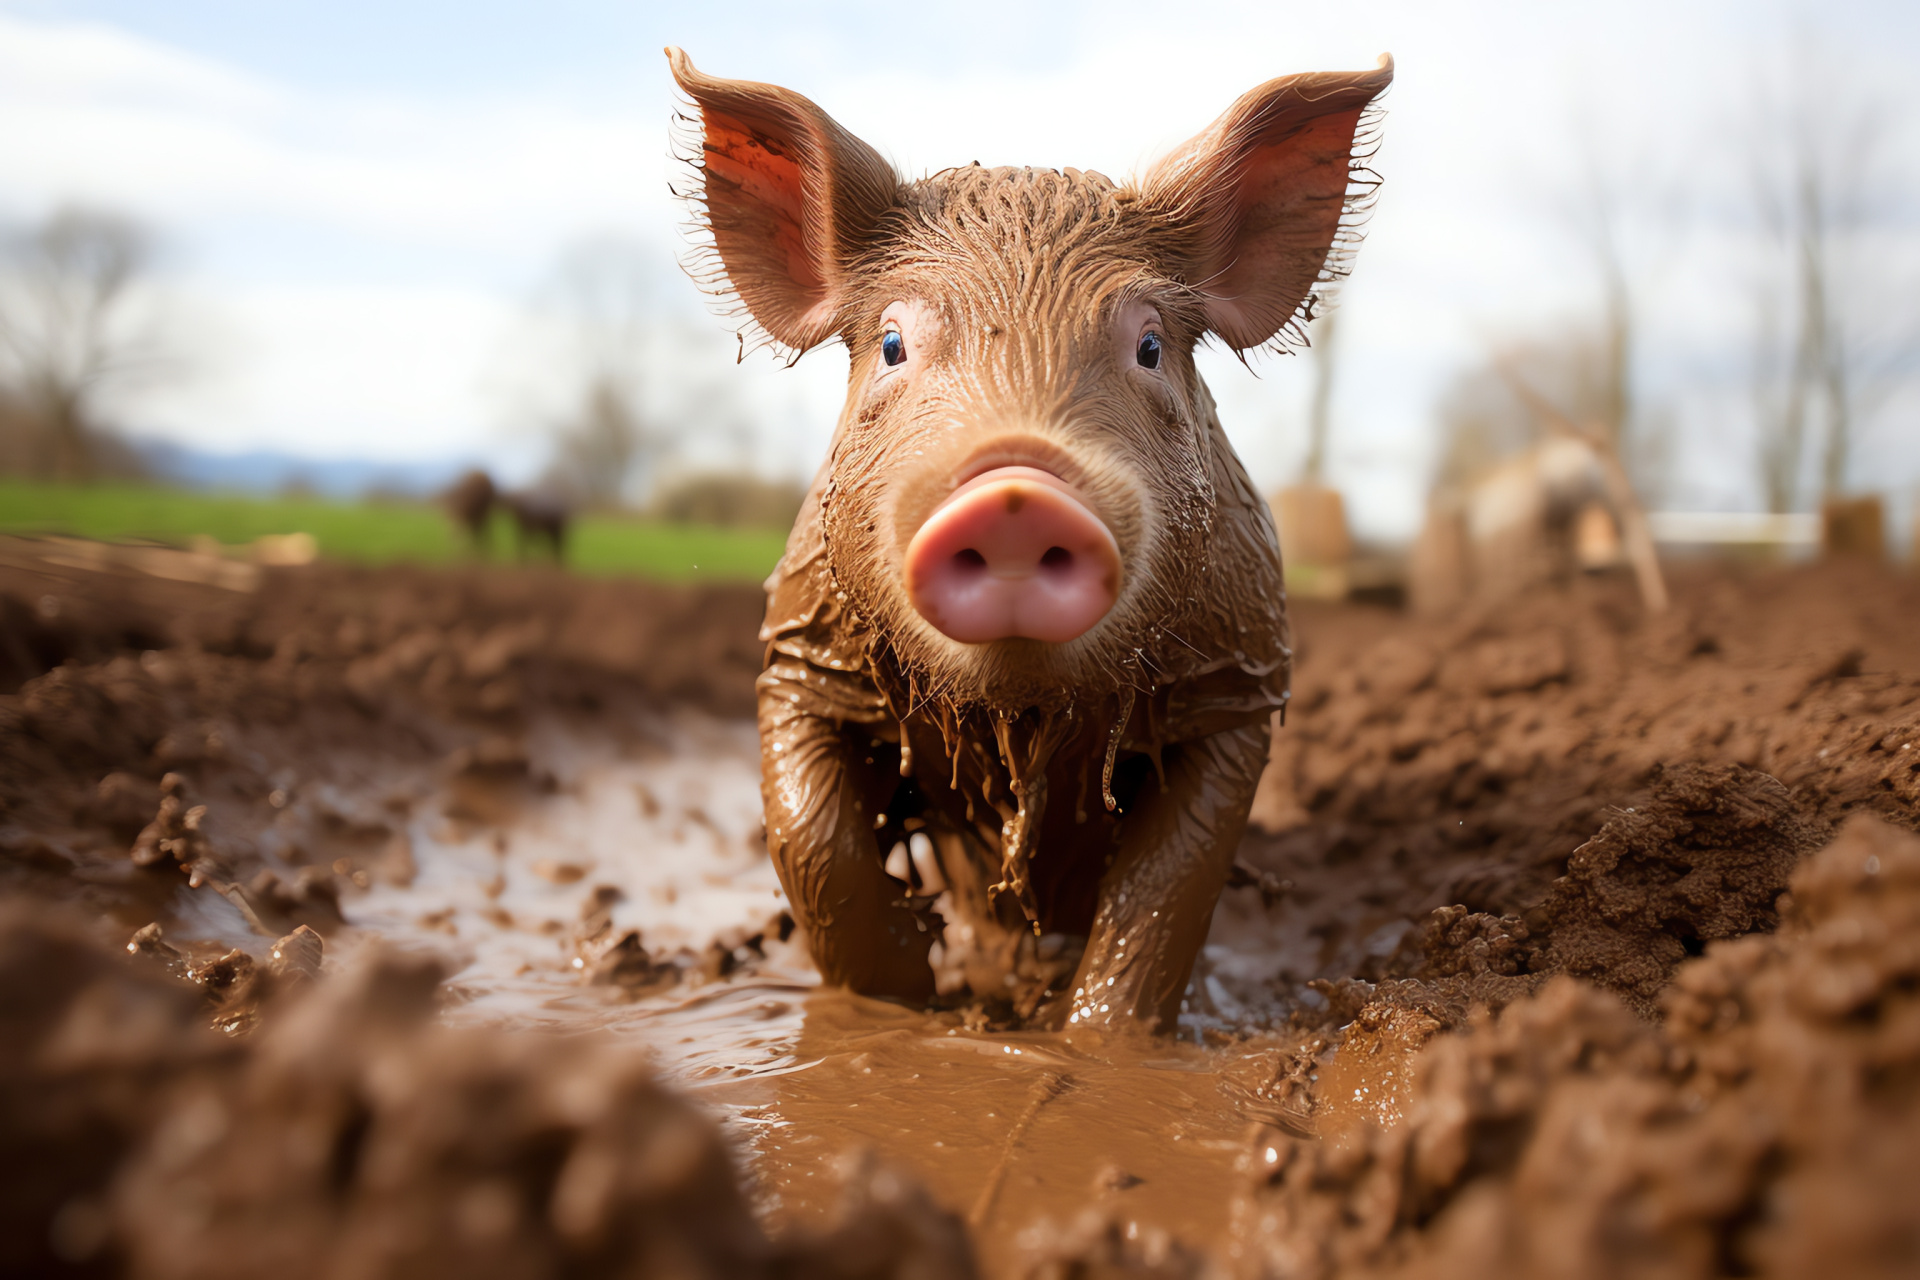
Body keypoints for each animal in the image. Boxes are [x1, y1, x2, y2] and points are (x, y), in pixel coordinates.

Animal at [668, 47, 1390, 1028]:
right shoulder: (801, 655)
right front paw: (905, 1010)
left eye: (1150, 347)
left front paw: (1091, 1038)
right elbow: (813, 844)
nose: (1016, 492)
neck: (1022, 716)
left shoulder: (1239, 682)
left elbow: (1164, 895)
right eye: (891, 344)